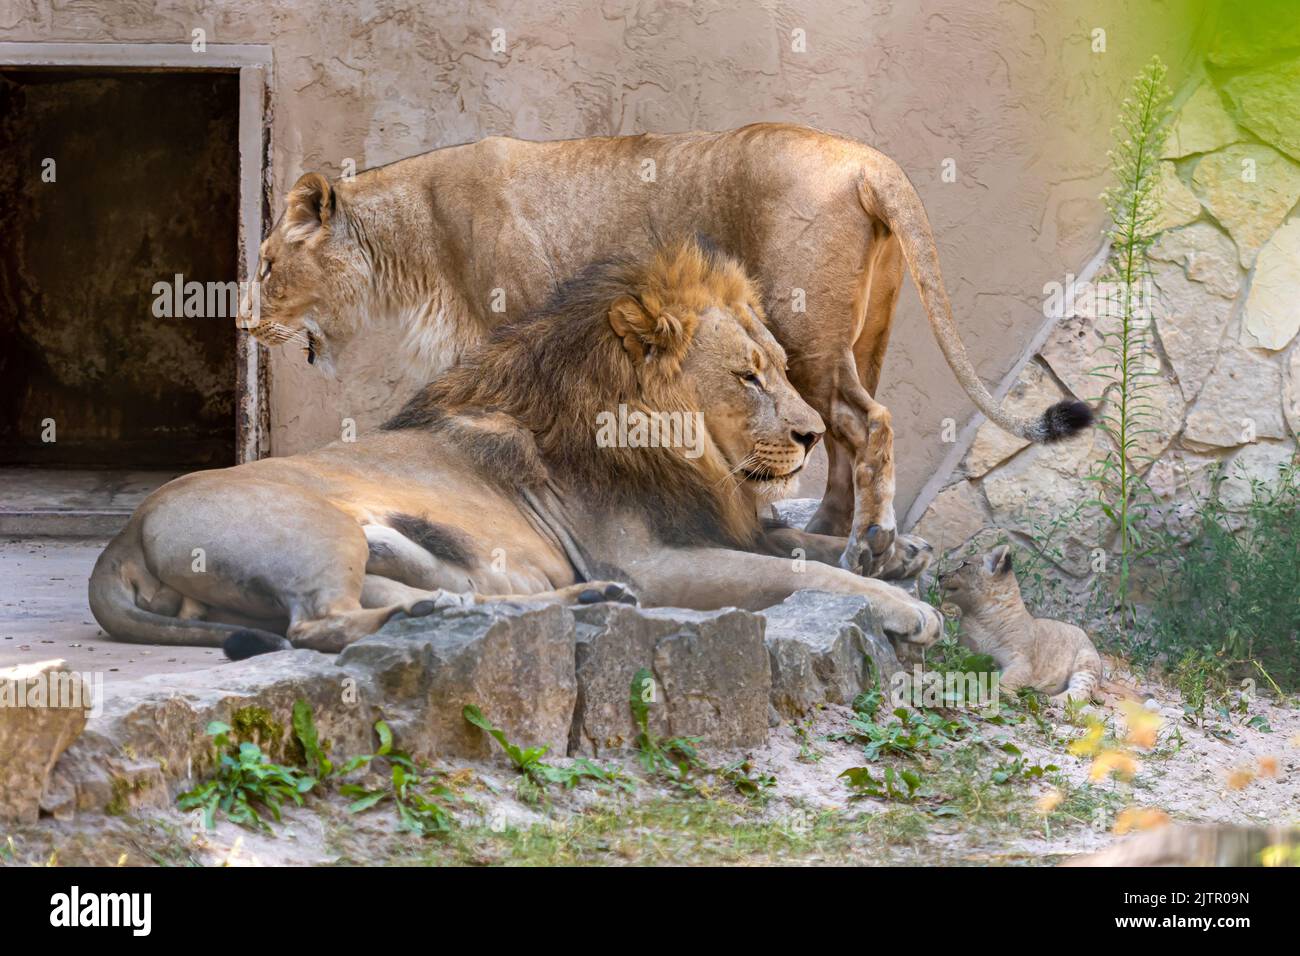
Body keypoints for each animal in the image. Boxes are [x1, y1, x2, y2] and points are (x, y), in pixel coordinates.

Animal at [94, 238, 946, 658]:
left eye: (779, 367)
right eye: (748, 376)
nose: (812, 435)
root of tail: (124, 534)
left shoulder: (712, 522)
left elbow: (808, 544)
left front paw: (891, 552)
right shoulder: (655, 561)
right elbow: (800, 569)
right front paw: (907, 607)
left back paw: (556, 603)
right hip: (318, 528)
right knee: (319, 624)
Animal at [248, 124, 1092, 580]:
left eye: (265, 263)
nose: (246, 324)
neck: (410, 238)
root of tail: (867, 161)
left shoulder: (518, 318)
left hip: (804, 333)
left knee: (865, 422)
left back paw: (872, 542)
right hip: (864, 332)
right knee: (843, 433)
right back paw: (826, 528)